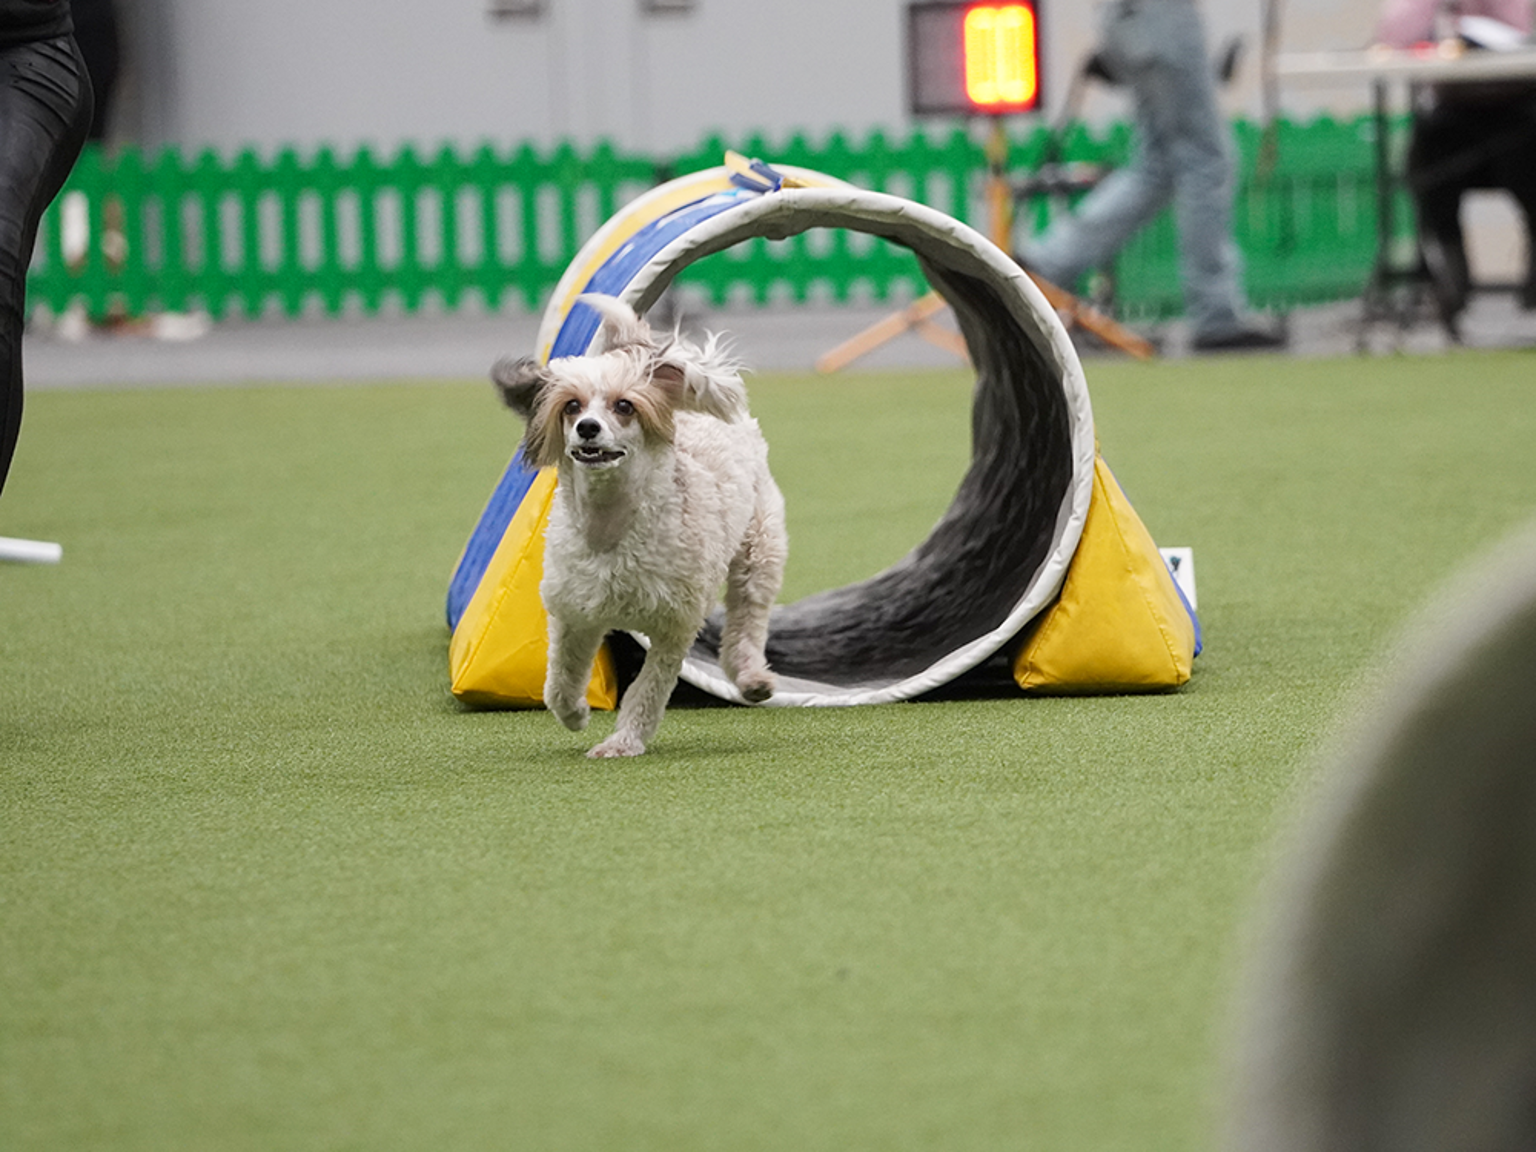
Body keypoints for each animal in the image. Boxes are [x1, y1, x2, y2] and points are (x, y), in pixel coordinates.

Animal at [491, 294, 786, 758]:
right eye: (572, 406)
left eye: (624, 406)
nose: (587, 428)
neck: (611, 528)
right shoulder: (575, 615)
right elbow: (559, 681)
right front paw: (575, 714)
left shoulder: (673, 628)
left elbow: (646, 693)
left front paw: (622, 742)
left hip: (760, 546)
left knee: (748, 616)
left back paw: (751, 677)